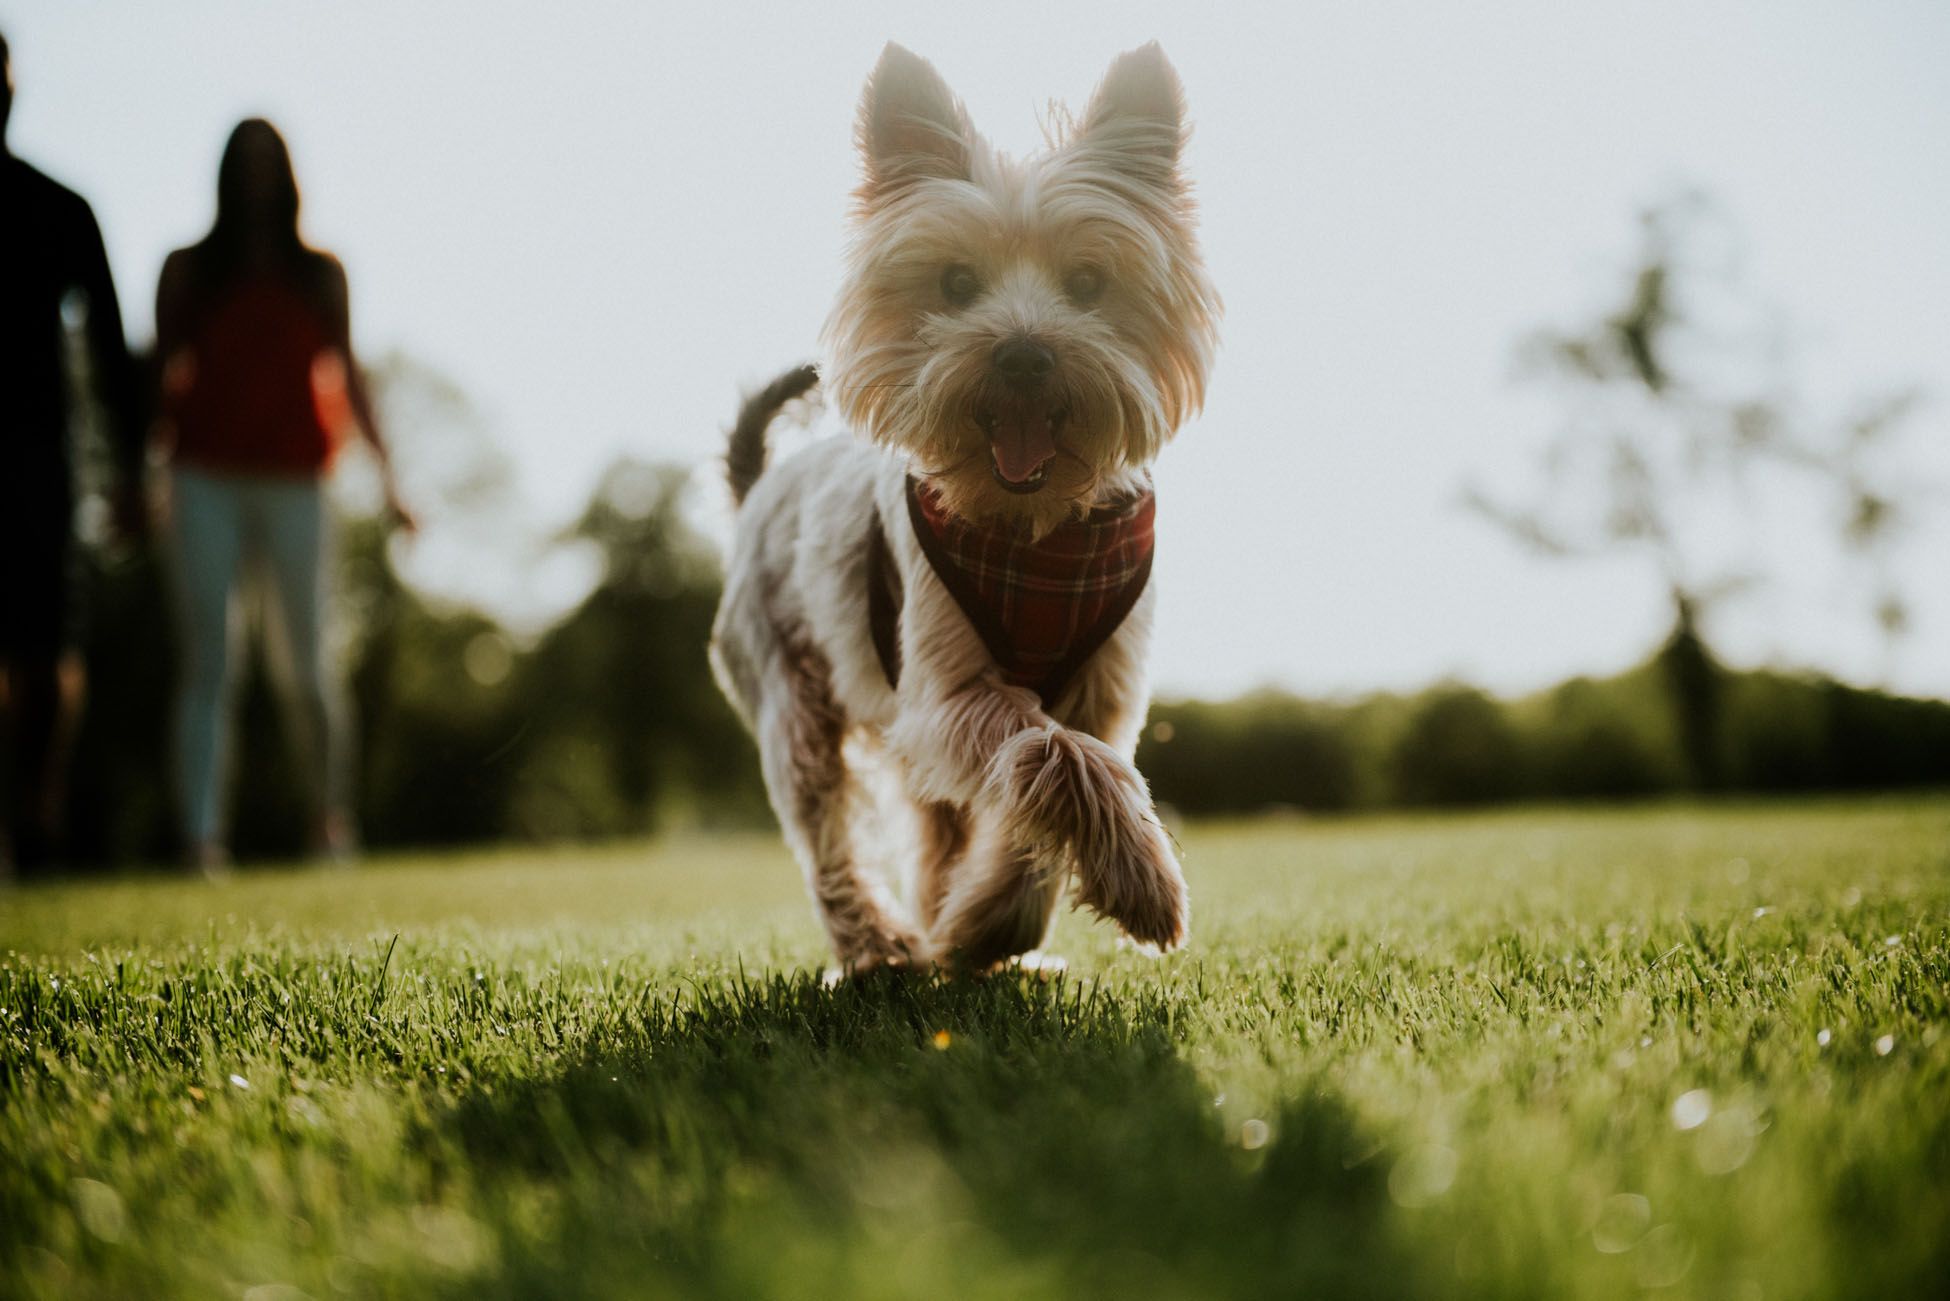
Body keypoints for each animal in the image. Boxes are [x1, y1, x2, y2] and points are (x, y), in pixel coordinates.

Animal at [709, 40, 1209, 971]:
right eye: (955, 281)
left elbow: (1039, 792)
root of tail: (758, 487)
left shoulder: (1103, 686)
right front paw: (1142, 881)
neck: (1035, 535)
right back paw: (877, 946)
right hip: (790, 696)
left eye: (1089, 281)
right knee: (825, 835)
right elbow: (1049, 752)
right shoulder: (942, 695)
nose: (1023, 354)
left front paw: (989, 929)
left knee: (936, 826)